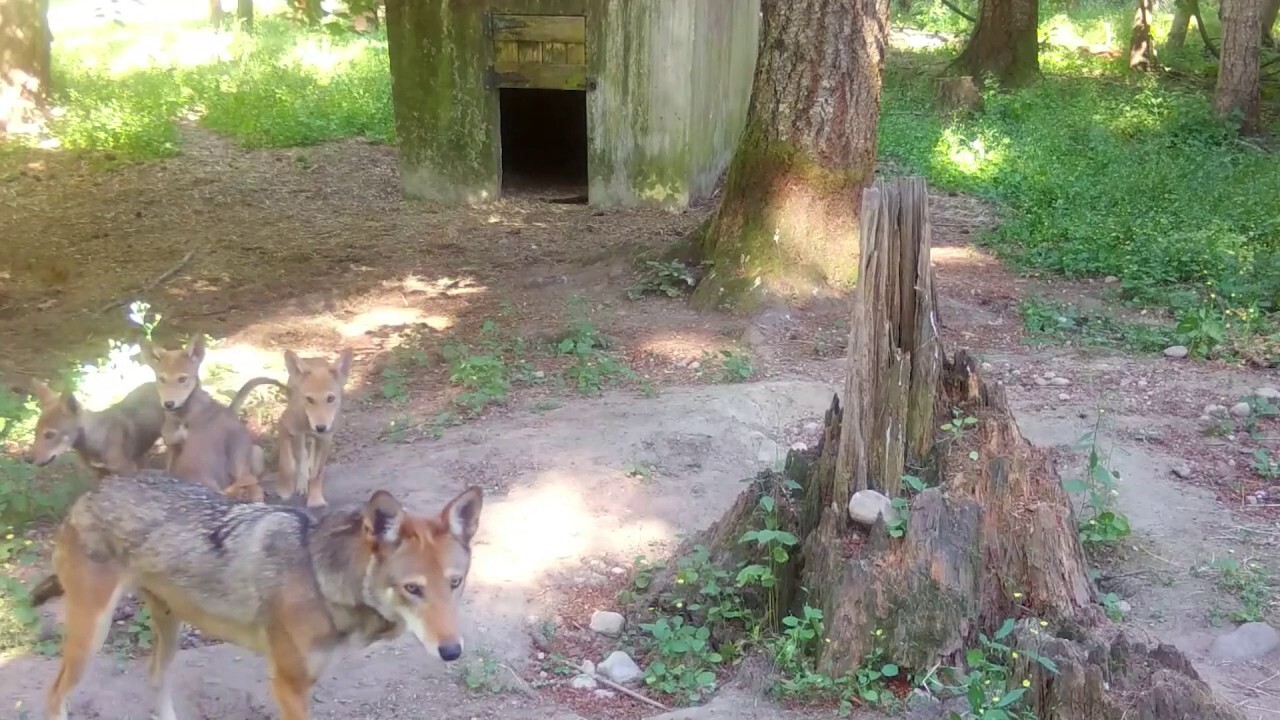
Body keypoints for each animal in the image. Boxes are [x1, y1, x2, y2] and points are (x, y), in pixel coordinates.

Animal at [35, 471, 486, 717]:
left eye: (455, 583)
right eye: (413, 589)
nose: (452, 652)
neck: (320, 580)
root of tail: (88, 495)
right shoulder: (288, 687)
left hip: (169, 626)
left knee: (155, 678)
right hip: (89, 639)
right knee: (54, 696)